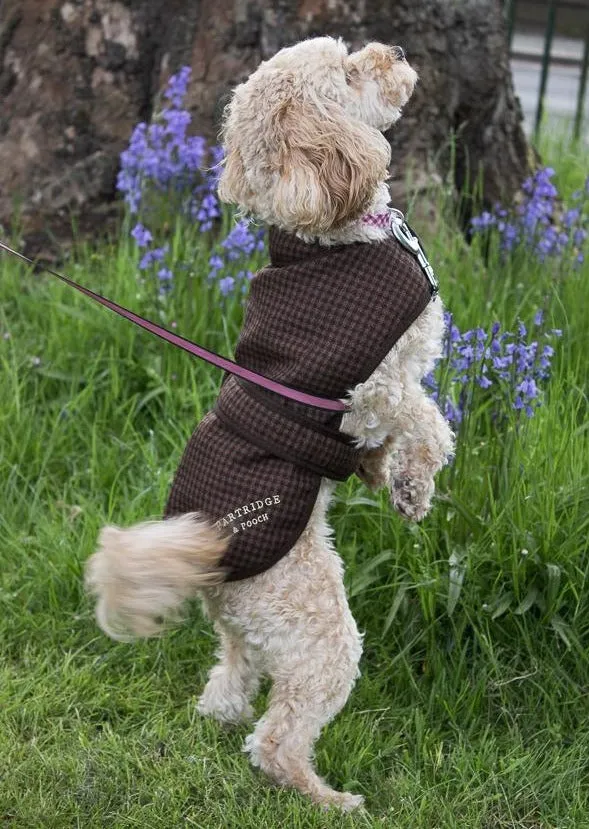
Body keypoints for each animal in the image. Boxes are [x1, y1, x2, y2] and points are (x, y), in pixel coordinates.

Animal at [86, 37, 454, 808]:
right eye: (349, 72)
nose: (395, 49)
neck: (334, 236)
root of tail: (209, 556)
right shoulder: (372, 387)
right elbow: (427, 420)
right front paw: (415, 485)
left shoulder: (366, 409)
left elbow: (387, 444)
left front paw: (389, 479)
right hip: (319, 634)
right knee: (277, 737)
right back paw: (328, 798)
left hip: (248, 633)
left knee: (226, 684)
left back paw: (220, 719)